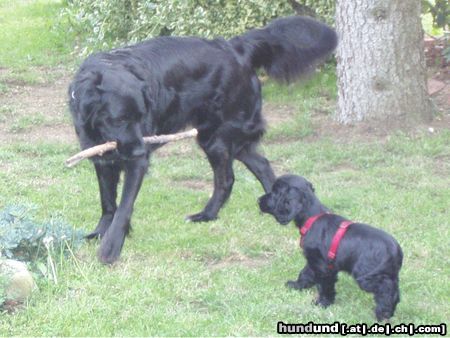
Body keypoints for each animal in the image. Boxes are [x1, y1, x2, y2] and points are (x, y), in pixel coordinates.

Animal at [69, 16, 338, 264]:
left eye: (140, 116)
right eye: (120, 119)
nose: (139, 149)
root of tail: (235, 47)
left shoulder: (137, 164)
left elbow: (124, 207)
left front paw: (111, 247)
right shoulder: (102, 158)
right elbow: (108, 203)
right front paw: (100, 233)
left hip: (215, 136)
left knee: (226, 179)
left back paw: (206, 215)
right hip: (228, 138)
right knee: (262, 164)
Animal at [258, 176, 402, 320]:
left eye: (275, 192)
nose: (258, 200)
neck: (312, 218)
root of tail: (396, 250)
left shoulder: (322, 265)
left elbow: (324, 285)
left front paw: (322, 303)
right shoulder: (314, 260)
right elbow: (306, 273)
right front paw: (297, 285)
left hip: (367, 276)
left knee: (386, 290)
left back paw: (383, 313)